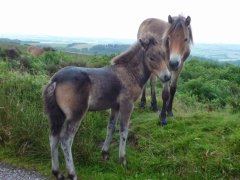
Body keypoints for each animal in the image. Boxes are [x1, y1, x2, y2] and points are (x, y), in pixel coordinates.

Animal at [42, 33, 171, 179]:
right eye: (151, 57)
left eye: (164, 55)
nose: (167, 76)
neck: (129, 72)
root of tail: (55, 80)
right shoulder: (127, 104)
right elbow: (123, 130)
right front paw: (123, 160)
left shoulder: (114, 106)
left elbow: (111, 127)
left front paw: (105, 154)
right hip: (76, 114)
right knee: (66, 139)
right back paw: (72, 174)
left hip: (57, 114)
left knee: (53, 137)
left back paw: (57, 173)